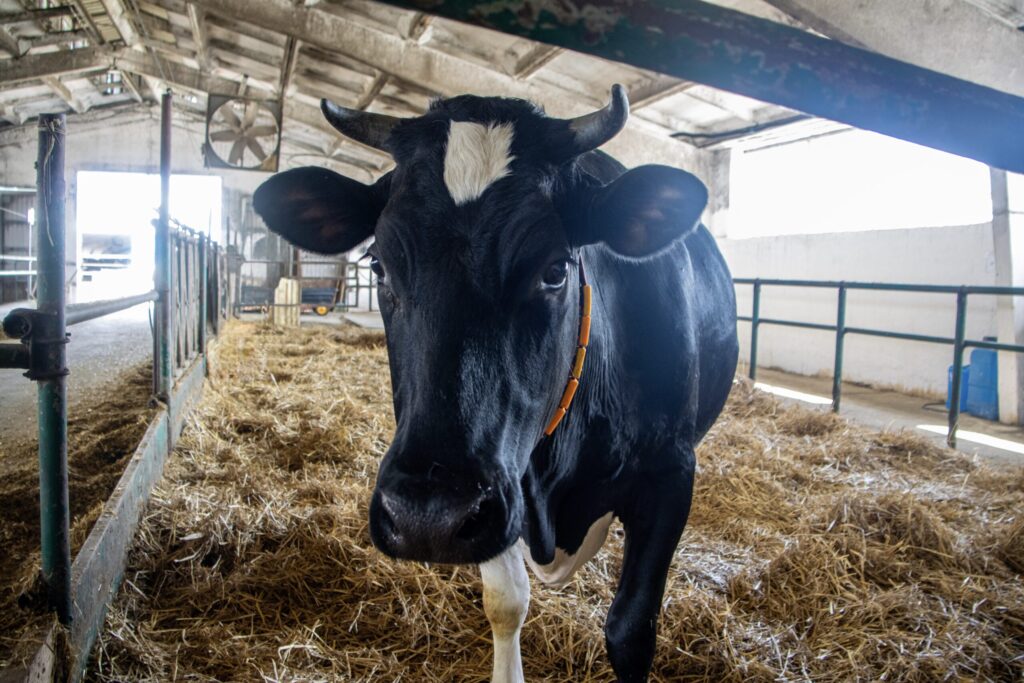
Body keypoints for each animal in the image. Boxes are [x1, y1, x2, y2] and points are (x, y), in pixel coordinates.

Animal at [253, 84, 738, 682]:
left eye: (555, 270)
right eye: (379, 266)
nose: (427, 515)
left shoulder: (671, 473)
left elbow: (631, 628)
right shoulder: (500, 485)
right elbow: (506, 602)